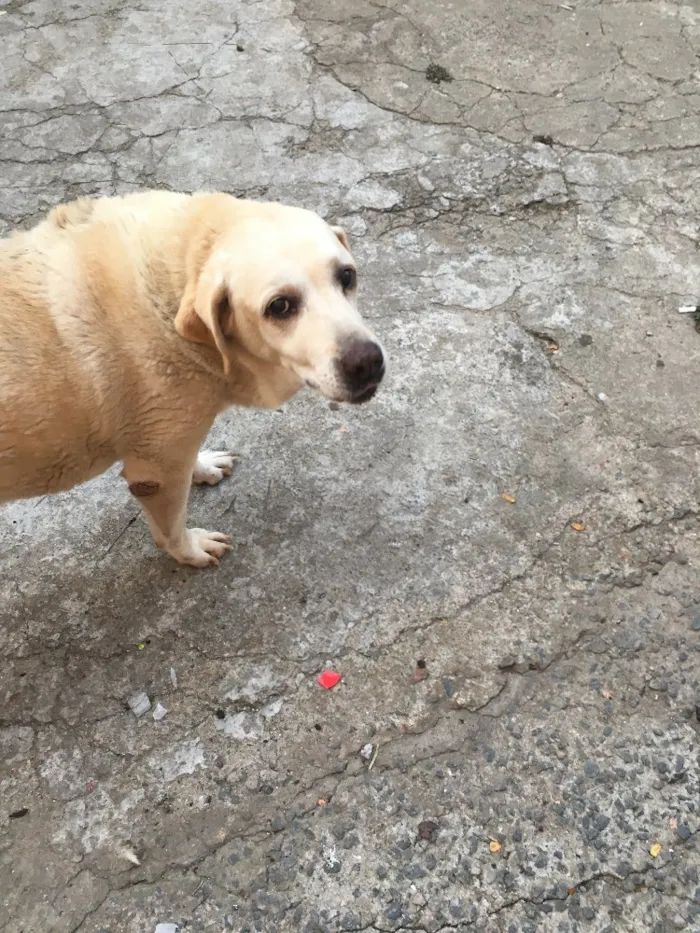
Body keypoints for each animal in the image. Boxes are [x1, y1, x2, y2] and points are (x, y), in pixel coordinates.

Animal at [0, 192, 382, 564]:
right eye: (280, 307)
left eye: (347, 276)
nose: (368, 362)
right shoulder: (155, 473)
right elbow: (170, 529)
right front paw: (191, 552)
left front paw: (202, 466)